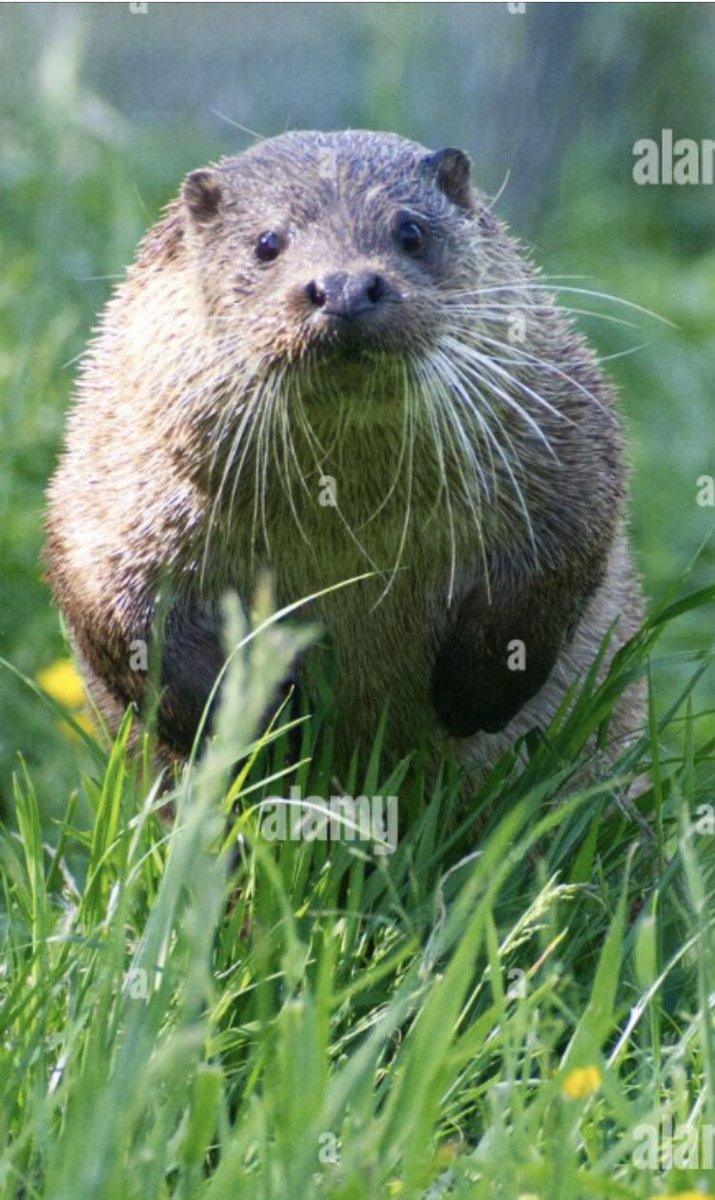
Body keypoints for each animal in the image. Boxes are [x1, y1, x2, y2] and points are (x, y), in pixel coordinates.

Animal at [45, 129, 644, 776]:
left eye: (412, 232)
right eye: (267, 242)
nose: (346, 286)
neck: (349, 528)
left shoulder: (567, 446)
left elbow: (562, 557)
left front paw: (477, 691)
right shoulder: (107, 499)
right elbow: (123, 623)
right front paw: (260, 728)